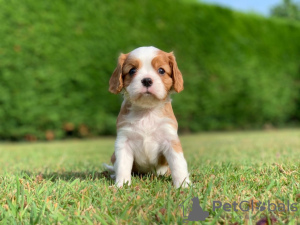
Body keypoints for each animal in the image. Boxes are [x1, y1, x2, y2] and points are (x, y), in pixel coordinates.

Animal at [105, 46, 190, 188]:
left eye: (161, 70)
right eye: (132, 70)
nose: (146, 80)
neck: (147, 111)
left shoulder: (170, 139)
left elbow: (178, 163)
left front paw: (183, 185)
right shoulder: (124, 141)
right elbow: (122, 165)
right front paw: (122, 184)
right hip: (113, 156)